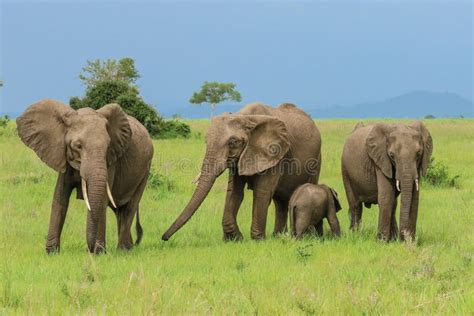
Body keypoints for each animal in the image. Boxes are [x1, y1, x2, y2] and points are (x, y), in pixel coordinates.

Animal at [16, 100, 154, 253]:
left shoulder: (111, 161)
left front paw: (99, 253)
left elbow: (102, 199)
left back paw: (123, 250)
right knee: (119, 211)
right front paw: (51, 253)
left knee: (130, 208)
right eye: (78, 146)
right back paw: (128, 247)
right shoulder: (63, 157)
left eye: (108, 146)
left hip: (145, 171)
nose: (90, 249)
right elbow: (60, 197)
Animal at [163, 102, 322, 241]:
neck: (246, 117)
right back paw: (278, 236)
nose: (164, 238)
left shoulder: (274, 154)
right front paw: (234, 238)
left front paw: (258, 239)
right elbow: (234, 192)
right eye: (206, 141)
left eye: (233, 143)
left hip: (316, 160)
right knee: (280, 201)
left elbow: (262, 192)